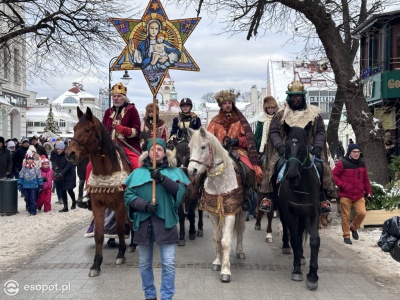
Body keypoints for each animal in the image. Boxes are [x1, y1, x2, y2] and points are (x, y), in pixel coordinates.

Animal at [65, 106, 131, 278]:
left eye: (87, 129)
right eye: (74, 128)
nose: (69, 154)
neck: (105, 171)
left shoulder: (120, 205)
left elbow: (120, 229)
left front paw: (121, 254)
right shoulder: (98, 205)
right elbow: (99, 234)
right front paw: (96, 264)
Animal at [188, 127, 247, 282]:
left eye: (203, 147)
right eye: (189, 147)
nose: (191, 171)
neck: (219, 182)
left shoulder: (230, 212)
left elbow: (226, 241)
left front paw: (225, 271)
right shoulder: (213, 213)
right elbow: (217, 238)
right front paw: (217, 262)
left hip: (242, 211)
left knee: (241, 228)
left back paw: (240, 251)